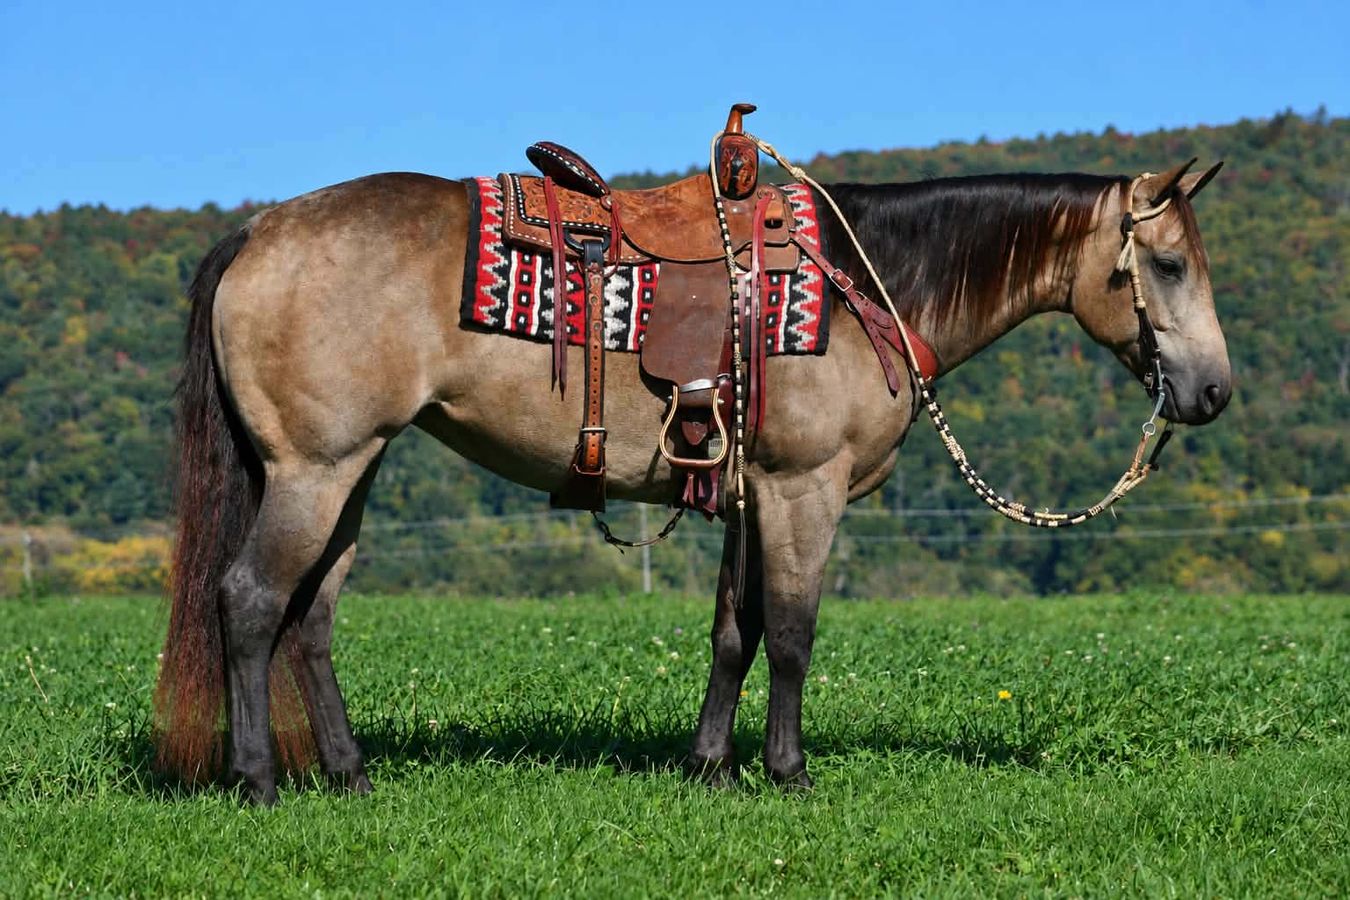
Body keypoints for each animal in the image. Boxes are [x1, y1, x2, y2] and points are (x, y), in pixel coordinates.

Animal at [153, 159, 1231, 804]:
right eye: (1170, 264)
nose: (1214, 391)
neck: (868, 283)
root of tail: (256, 232)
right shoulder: (804, 491)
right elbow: (792, 634)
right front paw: (788, 772)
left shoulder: (750, 496)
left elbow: (733, 633)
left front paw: (710, 766)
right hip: (313, 472)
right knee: (250, 602)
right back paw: (256, 778)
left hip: (351, 472)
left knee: (310, 617)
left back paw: (347, 773)